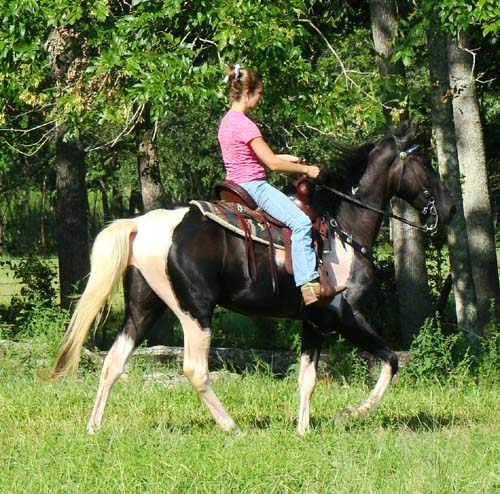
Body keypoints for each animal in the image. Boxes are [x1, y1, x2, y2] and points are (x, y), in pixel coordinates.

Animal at [48, 121, 456, 434]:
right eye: (423, 161)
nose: (449, 208)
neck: (343, 228)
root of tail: (144, 224)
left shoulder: (314, 319)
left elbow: (307, 377)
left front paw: (303, 430)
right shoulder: (343, 314)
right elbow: (390, 360)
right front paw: (349, 414)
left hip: (144, 309)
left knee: (114, 363)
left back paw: (94, 427)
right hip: (195, 311)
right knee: (195, 369)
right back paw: (231, 427)